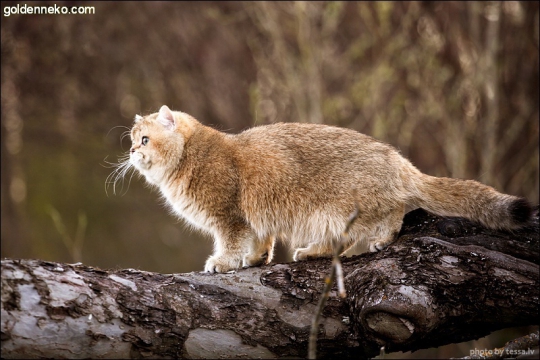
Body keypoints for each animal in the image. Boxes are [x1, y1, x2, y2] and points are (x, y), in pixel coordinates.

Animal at [119, 104, 532, 272]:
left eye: (144, 139)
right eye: (132, 140)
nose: (131, 152)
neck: (188, 156)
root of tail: (398, 160)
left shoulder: (229, 218)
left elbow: (231, 244)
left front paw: (222, 263)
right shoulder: (257, 220)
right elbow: (262, 243)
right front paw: (255, 260)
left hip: (344, 207)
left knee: (391, 214)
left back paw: (382, 238)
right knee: (342, 242)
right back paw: (312, 252)